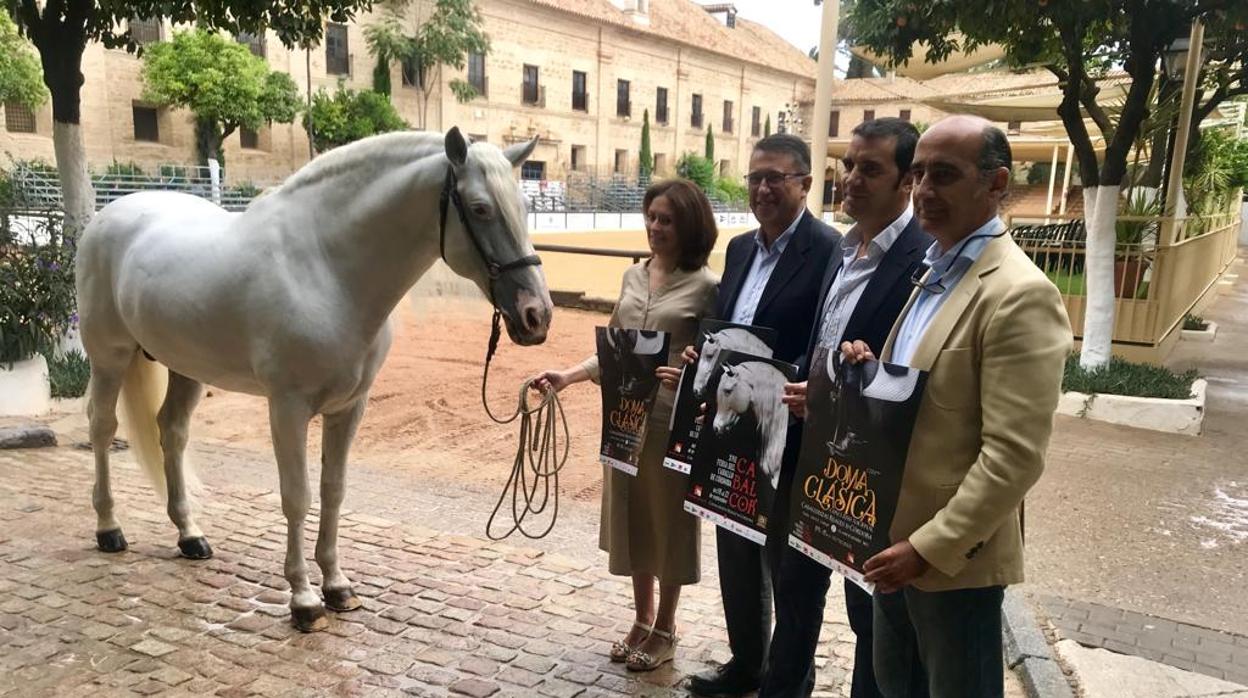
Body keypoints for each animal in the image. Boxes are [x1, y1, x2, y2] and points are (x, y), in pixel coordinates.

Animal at [73, 126, 551, 634]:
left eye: (524, 207)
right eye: (480, 208)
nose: (536, 316)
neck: (327, 270)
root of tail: (111, 214)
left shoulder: (349, 407)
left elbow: (333, 491)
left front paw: (338, 586)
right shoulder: (288, 407)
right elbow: (297, 497)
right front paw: (303, 599)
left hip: (186, 368)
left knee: (172, 433)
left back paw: (190, 536)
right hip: (109, 358)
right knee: (102, 427)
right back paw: (109, 529)